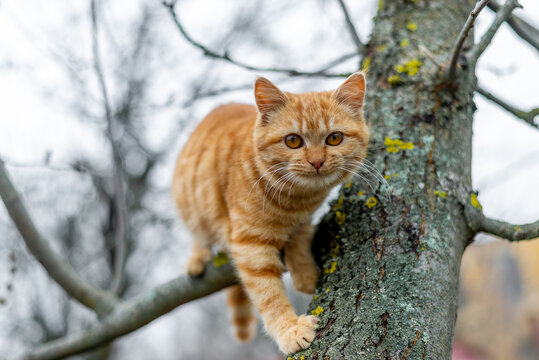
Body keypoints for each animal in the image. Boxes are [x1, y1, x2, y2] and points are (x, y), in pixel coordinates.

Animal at [173, 71, 372, 352]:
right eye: (293, 141)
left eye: (334, 138)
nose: (317, 161)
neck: (296, 202)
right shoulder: (250, 244)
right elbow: (269, 295)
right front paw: (290, 330)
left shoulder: (303, 221)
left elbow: (300, 240)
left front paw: (305, 274)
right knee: (199, 235)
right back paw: (196, 258)